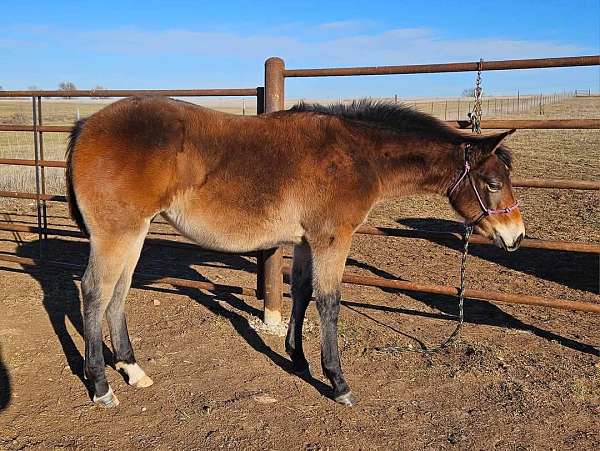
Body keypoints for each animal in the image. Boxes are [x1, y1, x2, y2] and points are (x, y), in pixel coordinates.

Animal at [67, 97, 524, 408]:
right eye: (493, 183)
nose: (516, 236)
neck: (358, 155)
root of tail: (87, 123)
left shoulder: (307, 242)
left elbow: (302, 295)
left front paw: (298, 359)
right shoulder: (331, 239)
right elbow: (329, 303)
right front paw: (338, 382)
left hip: (135, 233)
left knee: (118, 294)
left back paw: (132, 369)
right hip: (117, 234)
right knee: (94, 291)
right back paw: (101, 386)